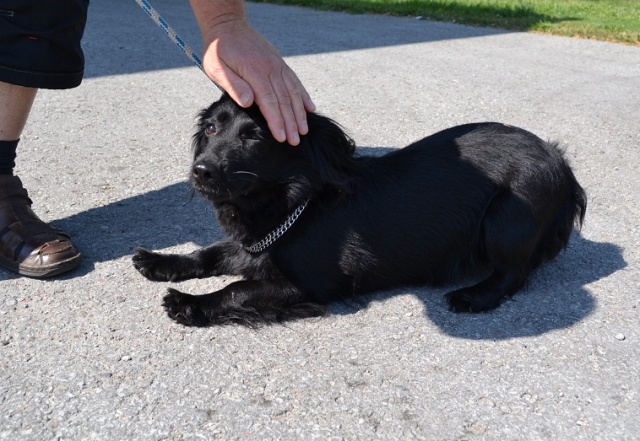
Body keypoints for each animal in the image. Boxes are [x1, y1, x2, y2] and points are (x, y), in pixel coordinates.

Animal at [132, 93, 586, 327]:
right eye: (211, 128)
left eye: (255, 136)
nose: (201, 170)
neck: (297, 202)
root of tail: (560, 162)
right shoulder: (254, 246)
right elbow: (209, 253)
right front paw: (160, 261)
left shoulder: (307, 286)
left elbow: (237, 290)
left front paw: (190, 304)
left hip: (505, 218)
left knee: (515, 273)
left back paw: (474, 296)